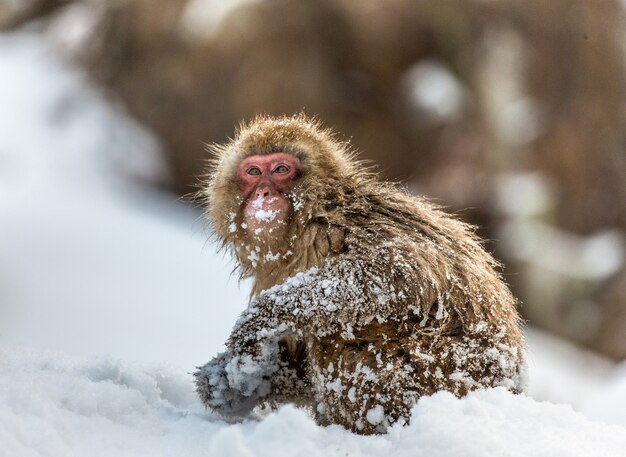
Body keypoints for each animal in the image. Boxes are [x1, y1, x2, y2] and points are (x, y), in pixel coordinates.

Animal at [194, 112, 520, 432]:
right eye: (253, 172)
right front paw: (228, 382)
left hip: (440, 371)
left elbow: (399, 272)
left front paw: (262, 317)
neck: (309, 219)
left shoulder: (337, 230)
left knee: (334, 338)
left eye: (280, 169)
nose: (263, 193)